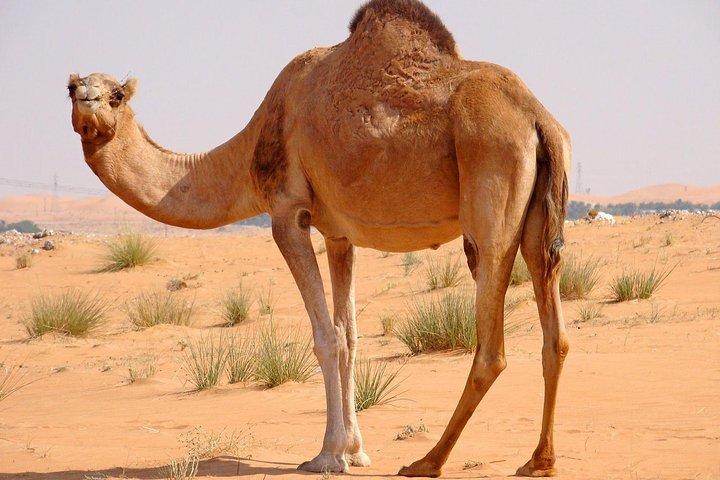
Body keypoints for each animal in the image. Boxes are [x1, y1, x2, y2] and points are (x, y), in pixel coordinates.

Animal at [67, 0, 571, 476]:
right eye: (72, 88)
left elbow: (326, 335)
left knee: (491, 346)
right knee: (555, 334)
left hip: (490, 188)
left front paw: (328, 455)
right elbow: (350, 335)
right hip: (539, 219)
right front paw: (357, 450)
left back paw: (428, 461)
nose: (88, 101)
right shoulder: (339, 234)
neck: (250, 149)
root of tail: (538, 118)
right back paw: (538, 460)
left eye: (116, 95)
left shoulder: (287, 213)